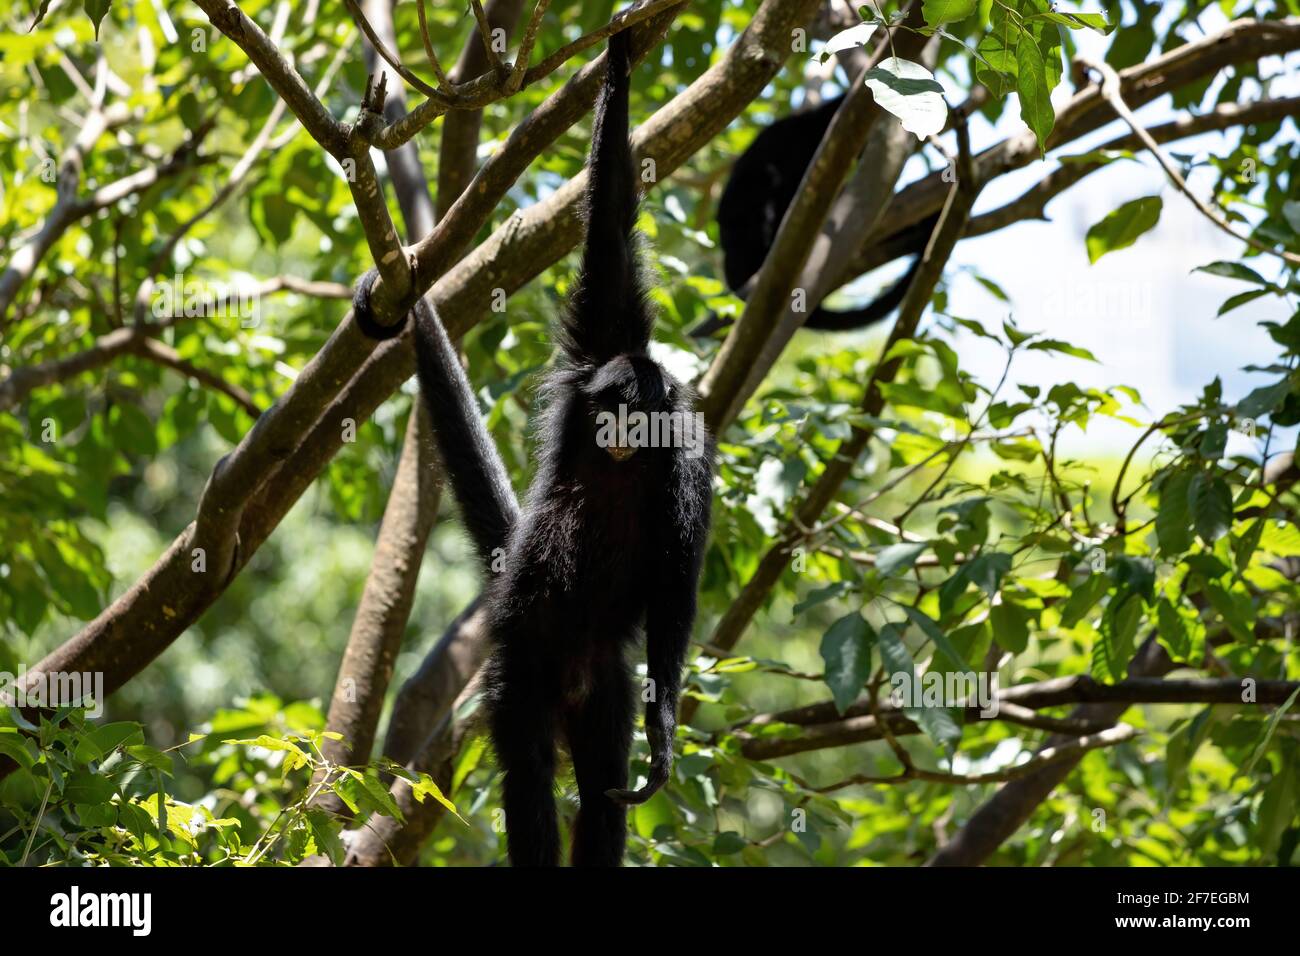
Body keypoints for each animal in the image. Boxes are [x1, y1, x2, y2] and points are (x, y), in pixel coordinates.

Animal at [353, 31, 712, 868]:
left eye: (639, 413)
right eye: (610, 407)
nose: (618, 428)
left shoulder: (685, 463)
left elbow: (676, 586)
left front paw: (663, 737)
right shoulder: (597, 354)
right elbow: (608, 234)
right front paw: (618, 61)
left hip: (603, 683)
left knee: (600, 785)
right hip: (521, 660)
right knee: (529, 770)